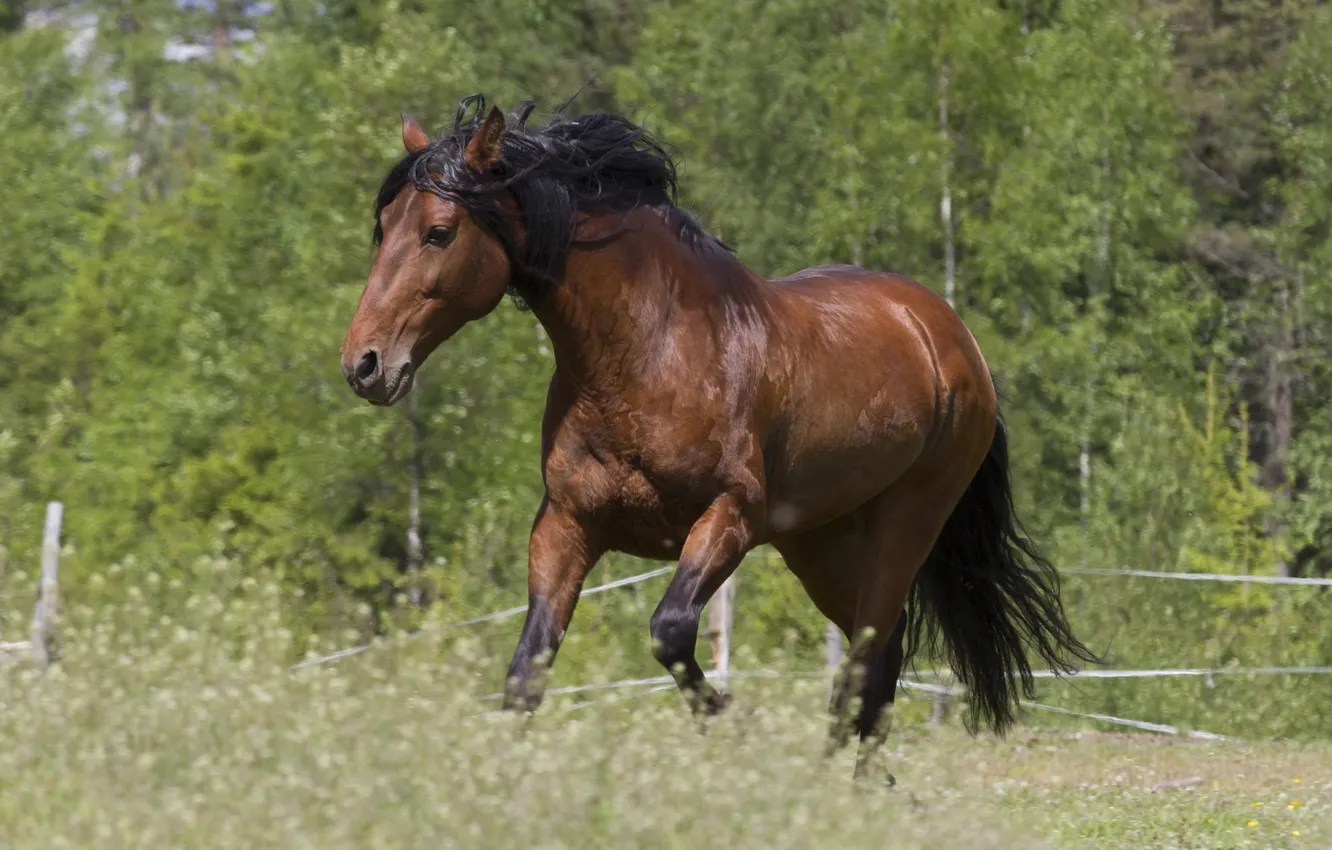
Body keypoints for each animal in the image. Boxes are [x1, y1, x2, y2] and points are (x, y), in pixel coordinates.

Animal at [340, 94, 1096, 776]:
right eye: (384, 224)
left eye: (439, 231)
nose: (364, 364)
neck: (647, 352)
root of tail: (948, 334)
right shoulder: (566, 525)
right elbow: (528, 669)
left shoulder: (729, 518)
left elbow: (669, 632)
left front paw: (734, 726)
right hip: (817, 542)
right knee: (877, 652)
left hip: (906, 522)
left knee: (867, 652)